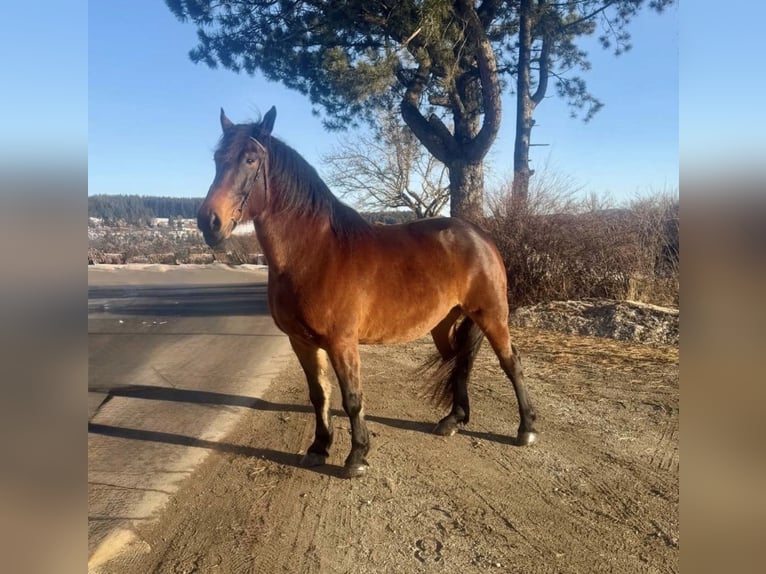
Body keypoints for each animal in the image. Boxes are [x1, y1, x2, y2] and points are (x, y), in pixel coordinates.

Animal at [197, 106, 538, 478]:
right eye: (216, 159)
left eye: (250, 159)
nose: (208, 222)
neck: (314, 252)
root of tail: (481, 236)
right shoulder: (301, 342)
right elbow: (319, 394)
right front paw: (319, 448)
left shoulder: (341, 342)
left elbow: (351, 398)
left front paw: (357, 456)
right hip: (446, 324)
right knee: (461, 362)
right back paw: (452, 420)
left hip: (492, 315)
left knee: (512, 363)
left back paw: (526, 429)